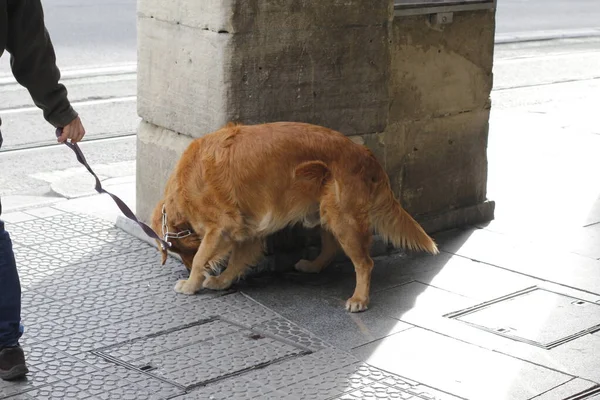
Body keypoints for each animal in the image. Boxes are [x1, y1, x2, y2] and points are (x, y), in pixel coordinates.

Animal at [151, 122, 436, 312]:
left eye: (178, 250)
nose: (184, 269)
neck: (183, 187)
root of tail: (366, 154)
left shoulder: (221, 226)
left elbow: (203, 257)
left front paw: (191, 283)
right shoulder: (247, 230)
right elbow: (237, 259)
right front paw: (222, 281)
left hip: (344, 218)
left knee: (365, 263)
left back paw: (359, 299)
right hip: (327, 212)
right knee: (330, 247)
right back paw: (313, 265)